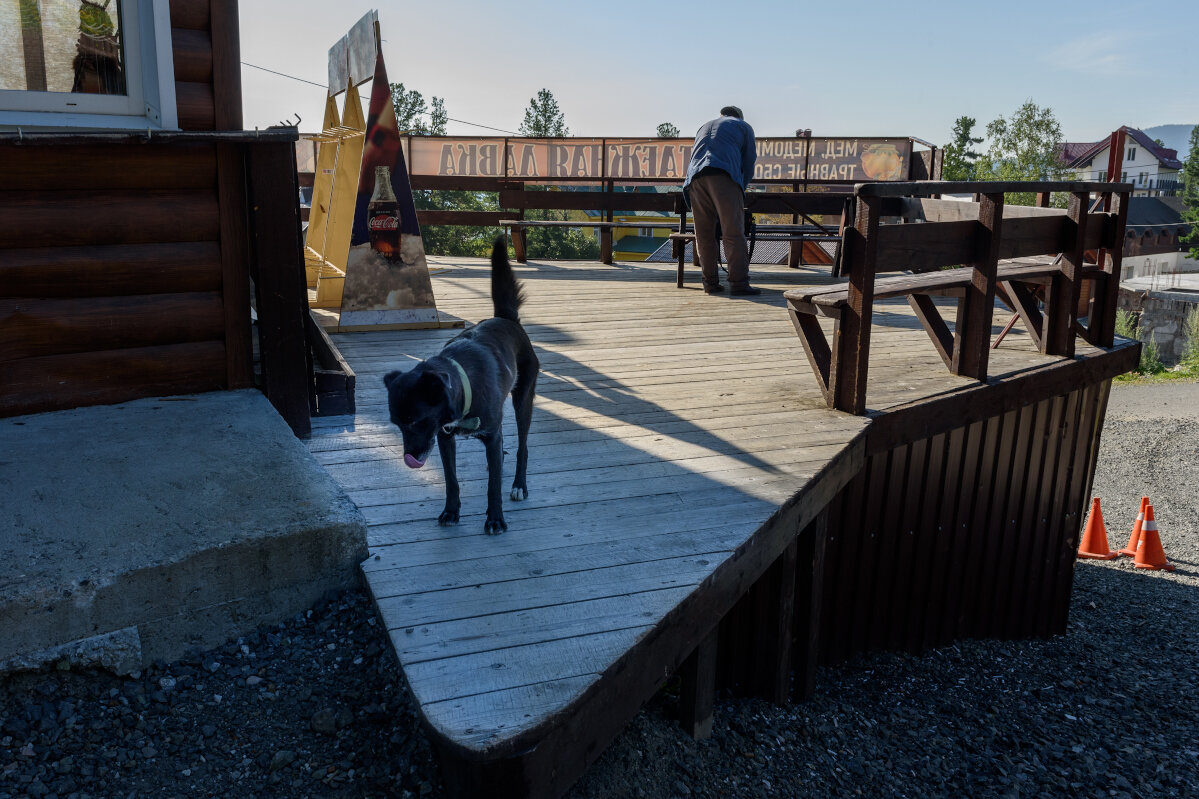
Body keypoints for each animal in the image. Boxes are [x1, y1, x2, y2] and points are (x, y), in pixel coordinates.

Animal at [383, 237, 539, 535]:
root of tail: (507, 319)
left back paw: (519, 484)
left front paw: (495, 519)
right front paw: (451, 512)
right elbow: (451, 480)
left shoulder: (483, 433)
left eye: (415, 421)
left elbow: (493, 486)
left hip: (523, 399)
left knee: (523, 446)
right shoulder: (444, 438)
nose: (409, 457)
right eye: (396, 424)